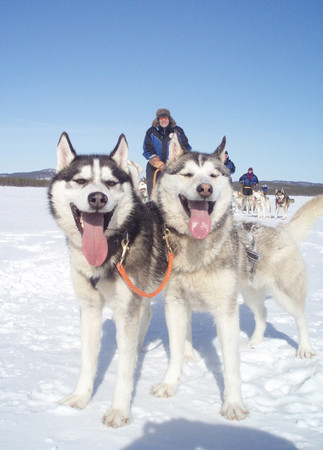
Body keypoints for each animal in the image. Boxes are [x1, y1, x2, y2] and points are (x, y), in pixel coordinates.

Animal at [50, 132, 170, 428]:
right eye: (80, 181)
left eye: (111, 183)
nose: (97, 198)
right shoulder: (90, 307)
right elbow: (88, 359)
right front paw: (80, 398)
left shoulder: (125, 310)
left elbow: (124, 370)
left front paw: (118, 410)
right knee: (146, 315)